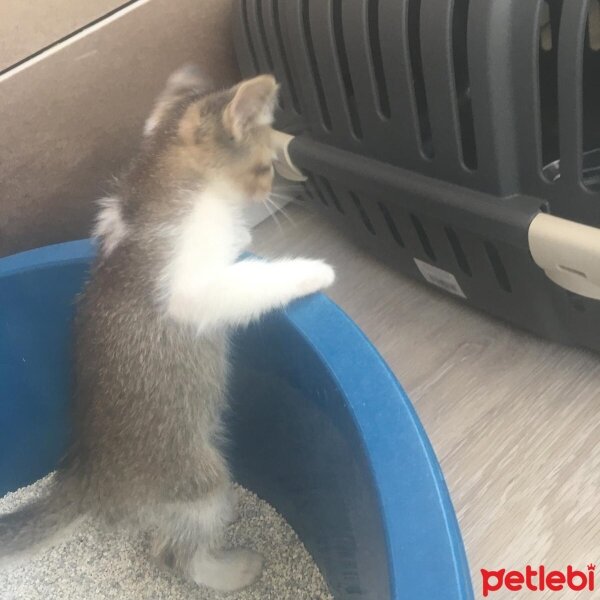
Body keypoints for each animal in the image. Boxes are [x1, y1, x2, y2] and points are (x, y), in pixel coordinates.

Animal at [0, 67, 336, 592]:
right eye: (265, 166)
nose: (270, 193)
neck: (159, 190)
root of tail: (86, 478)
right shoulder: (190, 290)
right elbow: (246, 280)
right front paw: (311, 271)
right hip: (198, 478)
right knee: (177, 554)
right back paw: (232, 569)